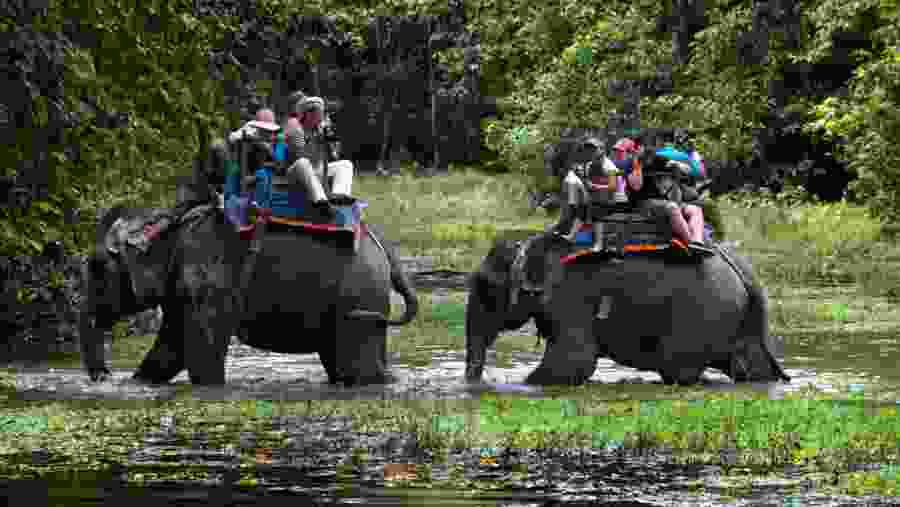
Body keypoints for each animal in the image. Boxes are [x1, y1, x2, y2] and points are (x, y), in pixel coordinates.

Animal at [80, 202, 419, 387]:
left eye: (96, 267)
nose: (105, 377)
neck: (165, 226)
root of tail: (382, 245)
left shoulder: (208, 284)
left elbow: (200, 356)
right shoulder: (182, 289)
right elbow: (169, 351)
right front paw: (138, 383)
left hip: (359, 296)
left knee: (356, 367)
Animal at [465, 233, 791, 386]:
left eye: (485, 287)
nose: (475, 384)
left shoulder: (568, 298)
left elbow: (573, 361)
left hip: (702, 313)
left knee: (677, 369)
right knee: (751, 365)